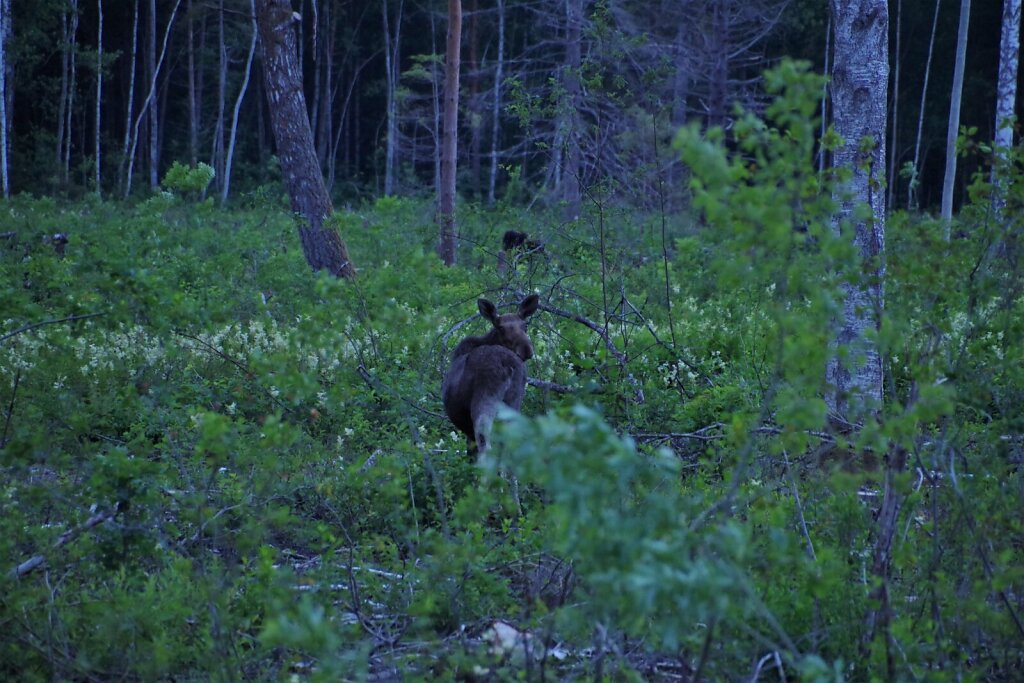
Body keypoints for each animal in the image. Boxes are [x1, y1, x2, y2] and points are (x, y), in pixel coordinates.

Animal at [442, 292, 540, 456]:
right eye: (500, 327)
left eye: (525, 325)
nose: (526, 349)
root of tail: (508, 365)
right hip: (514, 403)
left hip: (485, 399)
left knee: (485, 443)